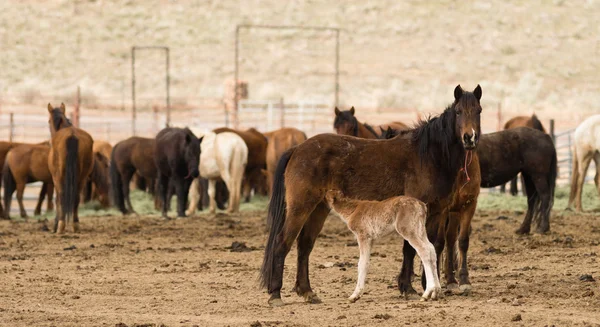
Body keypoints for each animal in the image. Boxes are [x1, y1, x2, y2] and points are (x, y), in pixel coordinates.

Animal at [47, 104, 94, 234]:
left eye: (48, 121)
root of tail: (72, 135)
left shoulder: (55, 178)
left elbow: (58, 199)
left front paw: (56, 224)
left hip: (59, 177)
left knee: (62, 196)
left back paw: (61, 225)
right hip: (82, 177)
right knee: (77, 197)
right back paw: (76, 225)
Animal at [262, 85, 482, 308]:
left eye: (478, 111)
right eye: (458, 112)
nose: (470, 138)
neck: (428, 156)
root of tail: (297, 149)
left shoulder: (437, 212)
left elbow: (433, 247)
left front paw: (428, 287)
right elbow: (410, 249)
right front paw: (408, 288)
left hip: (319, 209)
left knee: (304, 246)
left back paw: (307, 291)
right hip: (300, 207)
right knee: (282, 242)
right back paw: (275, 294)